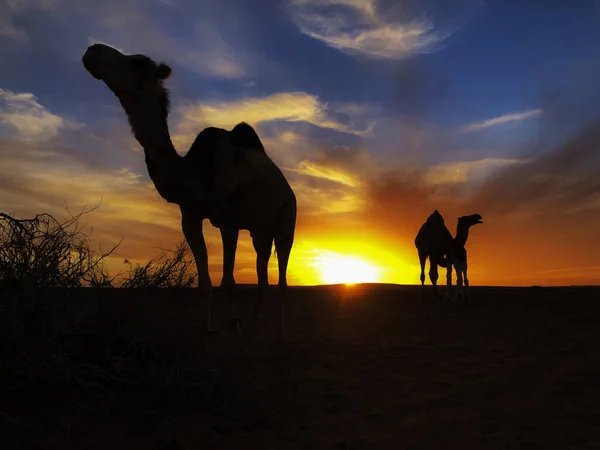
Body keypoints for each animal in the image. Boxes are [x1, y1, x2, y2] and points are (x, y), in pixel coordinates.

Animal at [82, 45, 298, 342]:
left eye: (138, 62)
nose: (93, 51)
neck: (195, 171)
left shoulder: (229, 221)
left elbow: (228, 282)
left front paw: (230, 328)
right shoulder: (190, 216)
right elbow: (205, 282)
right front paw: (212, 327)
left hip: (286, 218)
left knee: (282, 277)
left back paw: (279, 332)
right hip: (259, 230)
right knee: (262, 276)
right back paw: (252, 327)